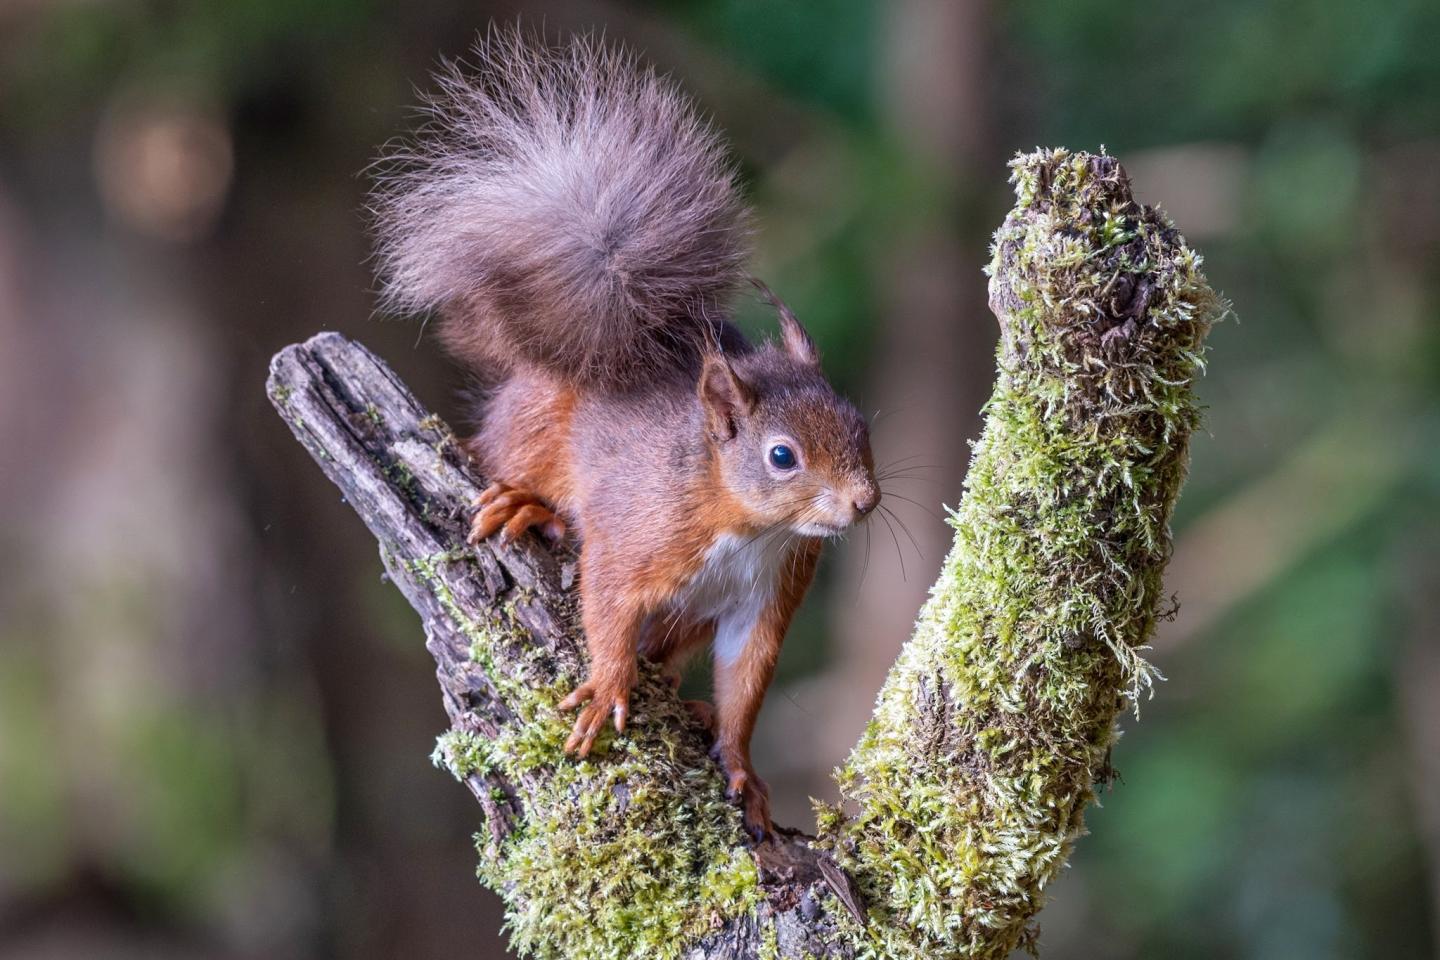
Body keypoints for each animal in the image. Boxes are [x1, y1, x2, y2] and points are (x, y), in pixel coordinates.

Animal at [368, 31, 875, 840]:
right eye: (782, 456)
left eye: (860, 426)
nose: (863, 501)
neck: (747, 528)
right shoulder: (638, 535)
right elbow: (606, 607)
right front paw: (607, 688)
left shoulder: (766, 598)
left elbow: (746, 681)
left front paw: (741, 767)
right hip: (533, 435)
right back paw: (525, 505)